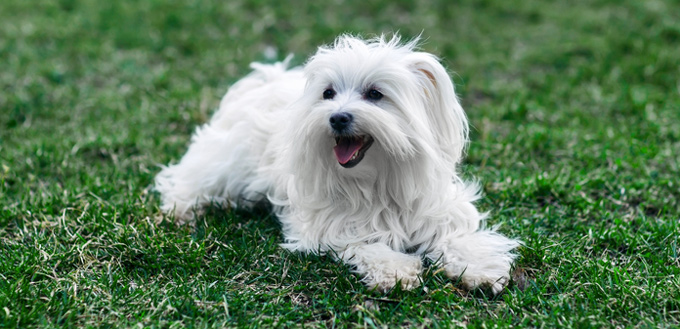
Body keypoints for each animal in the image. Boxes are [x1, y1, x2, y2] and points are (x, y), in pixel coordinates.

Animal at [155, 35, 520, 292]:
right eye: (328, 93)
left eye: (375, 94)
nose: (337, 117)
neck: (379, 180)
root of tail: (266, 80)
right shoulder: (333, 225)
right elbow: (366, 245)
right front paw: (396, 270)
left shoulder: (439, 210)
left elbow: (459, 238)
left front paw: (481, 269)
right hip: (225, 164)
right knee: (189, 180)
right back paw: (180, 210)